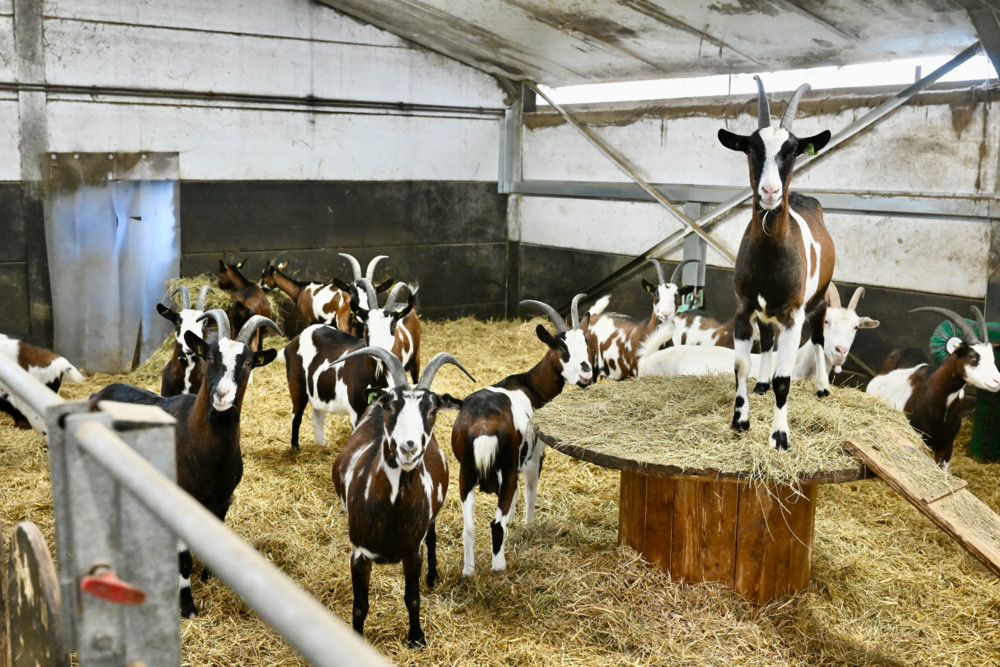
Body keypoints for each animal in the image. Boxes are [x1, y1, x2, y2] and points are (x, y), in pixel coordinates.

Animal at [88, 310, 280, 620]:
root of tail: (98, 393)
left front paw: (208, 578)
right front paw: (187, 607)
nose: (222, 394)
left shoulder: (222, 501)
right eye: (210, 356)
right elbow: (184, 560)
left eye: (249, 362)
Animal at [328, 344, 468, 648]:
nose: (409, 447)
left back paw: (433, 576)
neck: (390, 508)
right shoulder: (359, 554)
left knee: (433, 537)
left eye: (432, 409)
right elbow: (360, 606)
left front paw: (416, 637)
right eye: (390, 406)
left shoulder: (412, 551)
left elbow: (412, 598)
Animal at [452, 294, 592, 576]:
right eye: (563, 349)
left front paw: (515, 523)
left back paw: (468, 572)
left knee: (469, 527)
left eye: (585, 344)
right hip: (503, 471)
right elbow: (530, 491)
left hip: (466, 474)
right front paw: (528, 526)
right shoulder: (534, 456)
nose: (587, 372)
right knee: (495, 525)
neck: (530, 385)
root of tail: (483, 427)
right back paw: (499, 568)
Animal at [720, 77, 836, 454]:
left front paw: (780, 436)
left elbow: (785, 380)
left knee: (818, 339)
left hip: (819, 299)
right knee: (767, 342)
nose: (769, 192)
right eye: (750, 149)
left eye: (794, 150)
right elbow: (740, 363)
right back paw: (761, 383)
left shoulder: (791, 314)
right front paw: (740, 420)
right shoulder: (743, 307)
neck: (772, 254)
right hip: (765, 312)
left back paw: (822, 387)